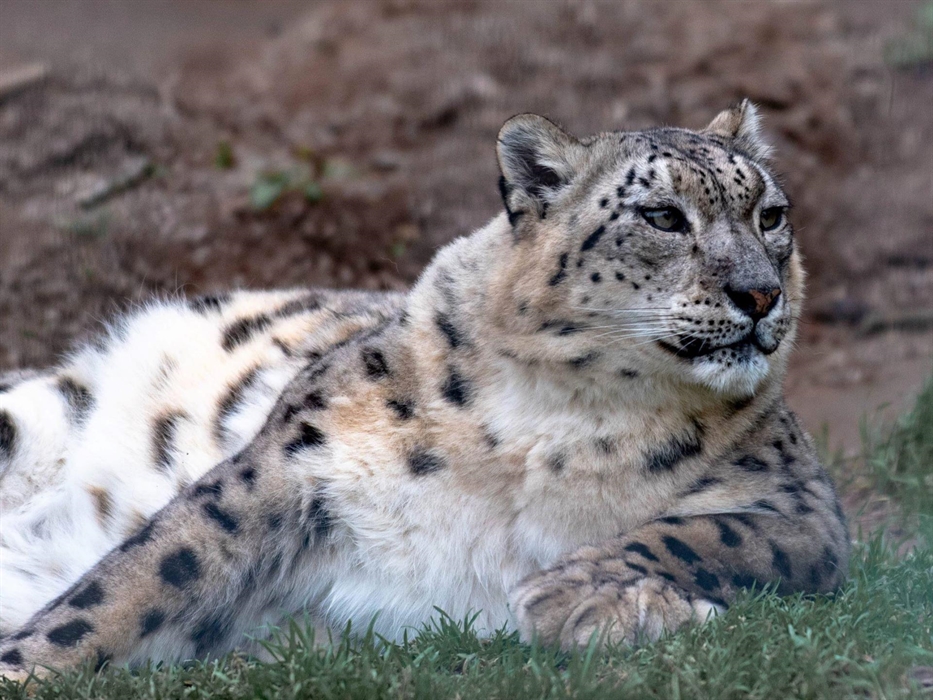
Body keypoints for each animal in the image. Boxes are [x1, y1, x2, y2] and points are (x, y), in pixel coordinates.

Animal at [0, 101, 849, 682]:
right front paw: (30, 664)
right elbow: (139, 578)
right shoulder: (291, 460)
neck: (564, 418)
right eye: (664, 216)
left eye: (770, 215)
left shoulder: (798, 501)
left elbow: (713, 534)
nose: (760, 293)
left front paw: (578, 595)